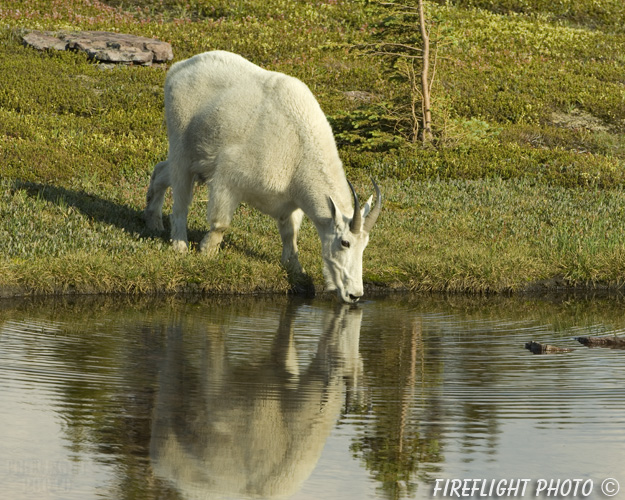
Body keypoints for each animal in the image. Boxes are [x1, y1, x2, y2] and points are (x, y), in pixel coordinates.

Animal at [146, 50, 380, 302]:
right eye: (345, 242)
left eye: (365, 245)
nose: (355, 294)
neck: (300, 152)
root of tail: (177, 69)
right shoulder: (228, 176)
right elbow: (220, 223)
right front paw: (206, 253)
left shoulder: (290, 201)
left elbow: (290, 234)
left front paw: (296, 269)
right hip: (180, 142)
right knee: (181, 196)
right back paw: (179, 245)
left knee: (161, 171)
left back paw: (153, 222)